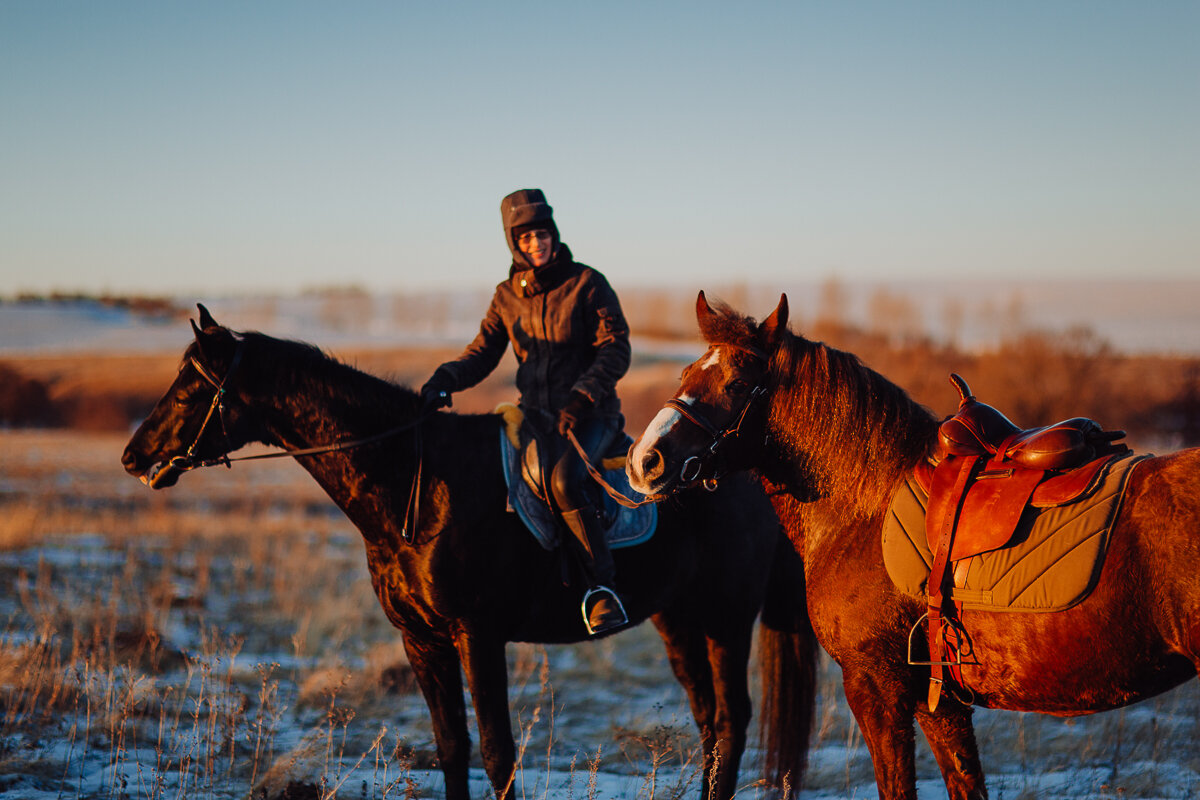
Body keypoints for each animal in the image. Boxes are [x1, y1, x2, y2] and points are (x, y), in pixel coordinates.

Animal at [119, 309, 816, 800]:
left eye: (188, 391)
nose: (133, 457)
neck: (417, 483)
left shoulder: (476, 636)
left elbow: (497, 753)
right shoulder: (420, 640)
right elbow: (452, 746)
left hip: (727, 619)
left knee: (733, 720)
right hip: (679, 621)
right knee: (709, 723)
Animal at [628, 293, 1200, 800]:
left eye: (738, 383)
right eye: (686, 376)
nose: (645, 461)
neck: (866, 500)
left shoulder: (875, 688)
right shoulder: (938, 703)